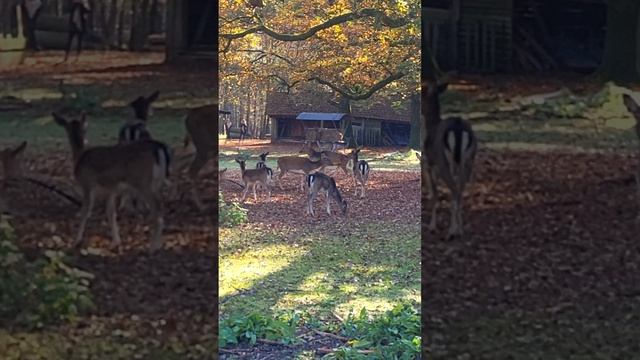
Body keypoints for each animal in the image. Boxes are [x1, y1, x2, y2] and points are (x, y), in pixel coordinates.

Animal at [53, 111, 171, 252]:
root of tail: (159, 148)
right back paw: (159, 244)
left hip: (143, 182)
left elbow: (85, 212)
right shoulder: (111, 190)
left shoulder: (87, 184)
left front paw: (76, 241)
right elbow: (111, 213)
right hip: (157, 182)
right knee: (161, 208)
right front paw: (116, 242)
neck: (79, 158)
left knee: (157, 211)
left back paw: (152, 247)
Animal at [422, 81, 478, 239]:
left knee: (453, 188)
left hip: (442, 161)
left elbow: (434, 194)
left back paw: (453, 231)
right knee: (460, 188)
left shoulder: (429, 163)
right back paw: (460, 229)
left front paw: (432, 227)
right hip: (469, 159)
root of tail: (458, 128)